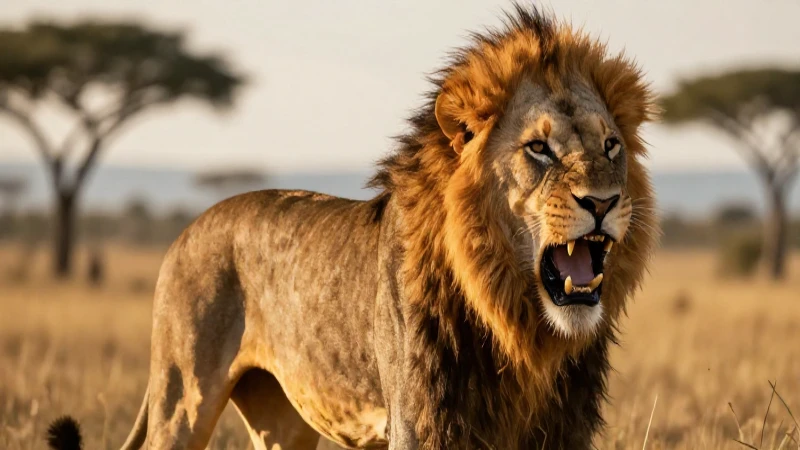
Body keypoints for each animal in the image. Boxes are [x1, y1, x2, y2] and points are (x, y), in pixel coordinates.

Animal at [48, 6, 658, 450]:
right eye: (539, 148)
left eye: (611, 145)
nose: (603, 201)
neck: (518, 324)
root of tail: (187, 229)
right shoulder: (423, 423)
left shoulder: (562, 426)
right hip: (182, 399)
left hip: (282, 423)